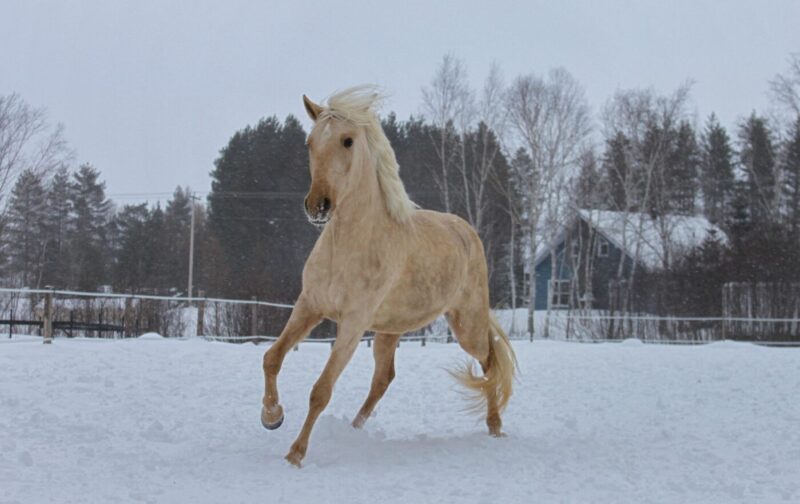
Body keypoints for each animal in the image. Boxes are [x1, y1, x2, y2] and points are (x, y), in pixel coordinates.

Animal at [260, 86, 517, 467]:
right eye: (310, 142)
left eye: (348, 140)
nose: (318, 205)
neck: (350, 244)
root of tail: (466, 229)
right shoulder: (309, 306)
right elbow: (272, 357)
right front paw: (272, 416)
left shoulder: (352, 323)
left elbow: (321, 390)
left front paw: (295, 453)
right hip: (390, 329)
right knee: (384, 378)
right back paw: (354, 429)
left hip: (466, 323)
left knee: (489, 364)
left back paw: (496, 429)